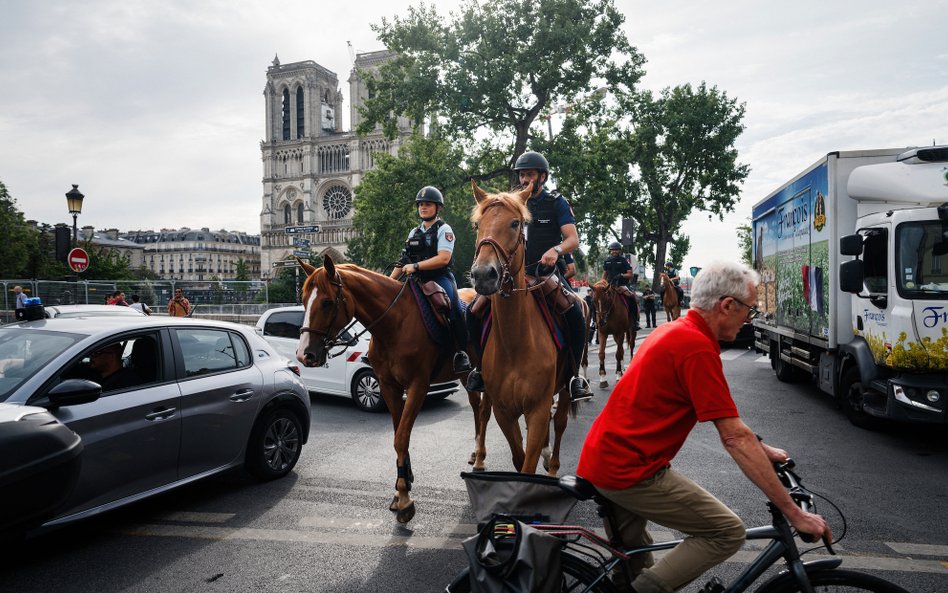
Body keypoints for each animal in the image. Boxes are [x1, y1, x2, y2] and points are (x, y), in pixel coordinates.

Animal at [294, 256, 488, 520]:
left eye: (326, 302)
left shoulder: (417, 386)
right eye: (304, 300)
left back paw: (481, 459)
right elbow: (398, 435)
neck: (394, 324)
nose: (305, 354)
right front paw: (402, 486)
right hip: (466, 373)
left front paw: (405, 498)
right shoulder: (388, 387)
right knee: (476, 406)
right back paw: (475, 452)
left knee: (486, 410)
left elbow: (401, 437)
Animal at [466, 180, 576, 476]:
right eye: (477, 224)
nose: (483, 275)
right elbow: (519, 457)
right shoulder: (505, 411)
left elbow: (528, 465)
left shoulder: (537, 408)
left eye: (516, 223)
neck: (515, 342)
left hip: (564, 389)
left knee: (560, 423)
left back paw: (552, 464)